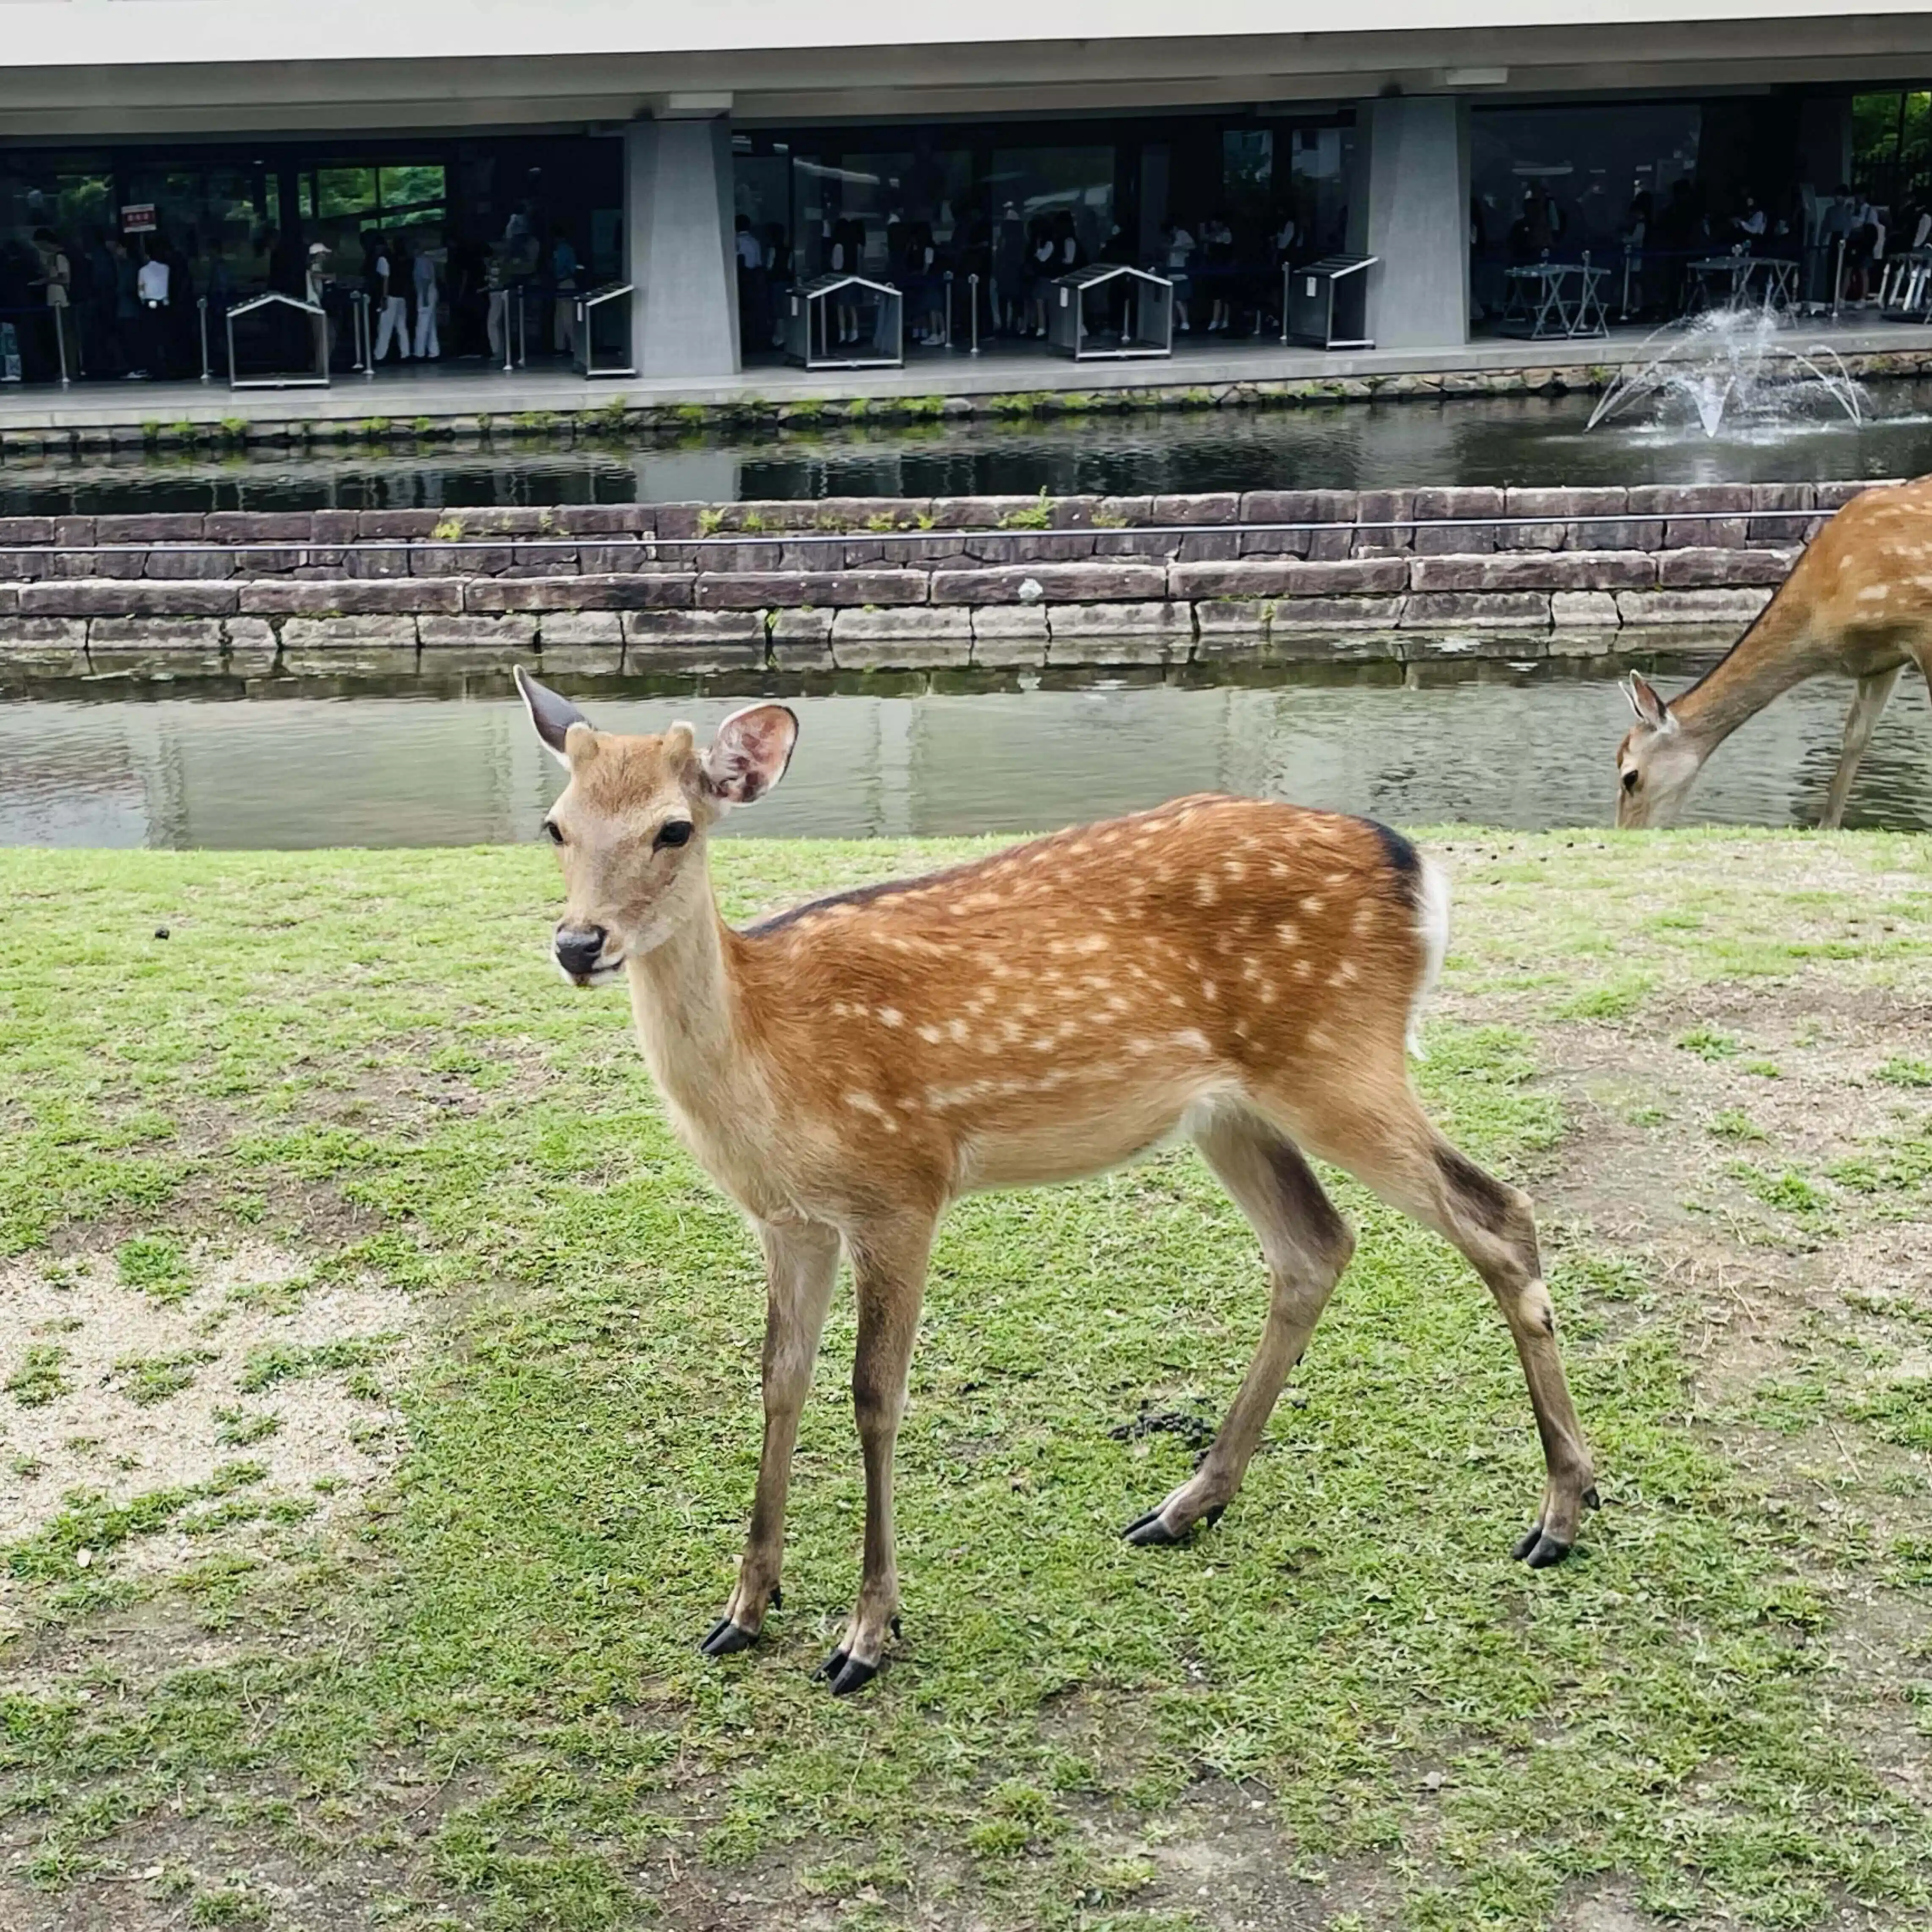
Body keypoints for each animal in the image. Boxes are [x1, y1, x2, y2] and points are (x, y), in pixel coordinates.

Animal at [514, 665, 1598, 1696]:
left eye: (674, 827)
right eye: (555, 824)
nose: (578, 944)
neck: (771, 1054)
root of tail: (1415, 866)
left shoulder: (902, 1184)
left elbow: (874, 1394)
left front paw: (866, 1633)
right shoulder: (789, 1219)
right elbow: (779, 1380)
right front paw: (744, 1608)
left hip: (1338, 1062)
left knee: (1497, 1211)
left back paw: (1561, 1510)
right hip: (1233, 1109)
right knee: (1315, 1245)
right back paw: (1185, 1504)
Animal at [1617, 475, 1932, 829]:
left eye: (1629, 776)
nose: (1626, 833)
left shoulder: (1922, 626)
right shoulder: (1879, 662)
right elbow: (1855, 737)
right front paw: (1826, 826)